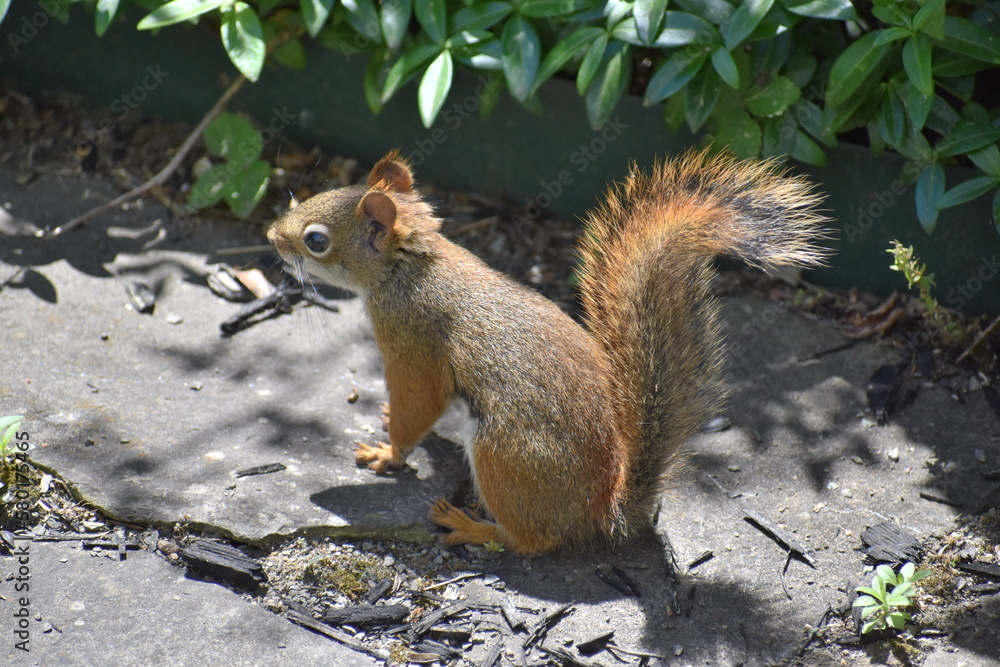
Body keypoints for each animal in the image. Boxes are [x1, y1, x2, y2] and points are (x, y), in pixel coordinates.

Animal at [267, 149, 828, 555]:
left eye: (316, 241)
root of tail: (604, 511)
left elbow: (417, 406)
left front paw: (388, 453)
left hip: (503, 455)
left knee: (532, 542)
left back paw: (471, 527)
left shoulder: (411, 343)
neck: (412, 267)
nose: (272, 235)